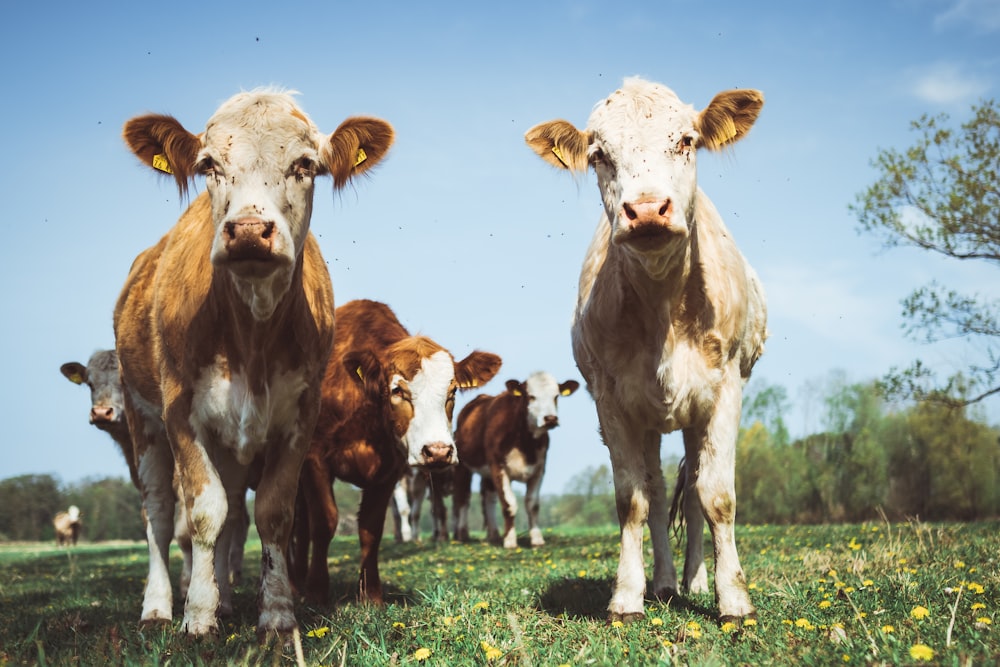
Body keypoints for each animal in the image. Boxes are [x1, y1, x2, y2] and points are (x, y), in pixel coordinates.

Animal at [110, 90, 390, 636]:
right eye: (209, 165)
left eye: (305, 165)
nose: (247, 231)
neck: (253, 335)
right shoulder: (180, 413)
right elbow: (202, 511)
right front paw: (197, 615)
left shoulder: (301, 418)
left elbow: (272, 514)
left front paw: (276, 613)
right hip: (142, 419)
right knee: (159, 513)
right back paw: (159, 606)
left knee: (234, 510)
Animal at [292, 300, 504, 608]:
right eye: (397, 390)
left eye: (452, 392)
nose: (438, 451)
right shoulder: (314, 459)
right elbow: (323, 522)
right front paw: (316, 592)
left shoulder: (389, 472)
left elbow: (371, 529)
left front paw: (370, 595)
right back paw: (294, 582)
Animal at [452, 370, 580, 548]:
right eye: (531, 396)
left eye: (556, 396)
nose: (550, 419)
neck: (525, 444)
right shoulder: (498, 467)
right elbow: (509, 504)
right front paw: (510, 541)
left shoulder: (539, 469)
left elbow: (532, 505)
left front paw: (537, 539)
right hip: (463, 466)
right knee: (463, 498)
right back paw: (462, 535)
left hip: (487, 473)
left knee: (488, 499)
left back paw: (494, 535)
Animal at [528, 78, 768, 628]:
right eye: (599, 155)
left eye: (686, 141)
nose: (647, 210)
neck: (663, 311)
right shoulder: (611, 401)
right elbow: (631, 500)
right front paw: (626, 597)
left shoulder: (727, 389)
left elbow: (717, 496)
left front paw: (733, 601)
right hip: (654, 418)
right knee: (659, 495)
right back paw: (663, 583)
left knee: (695, 493)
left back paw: (695, 582)